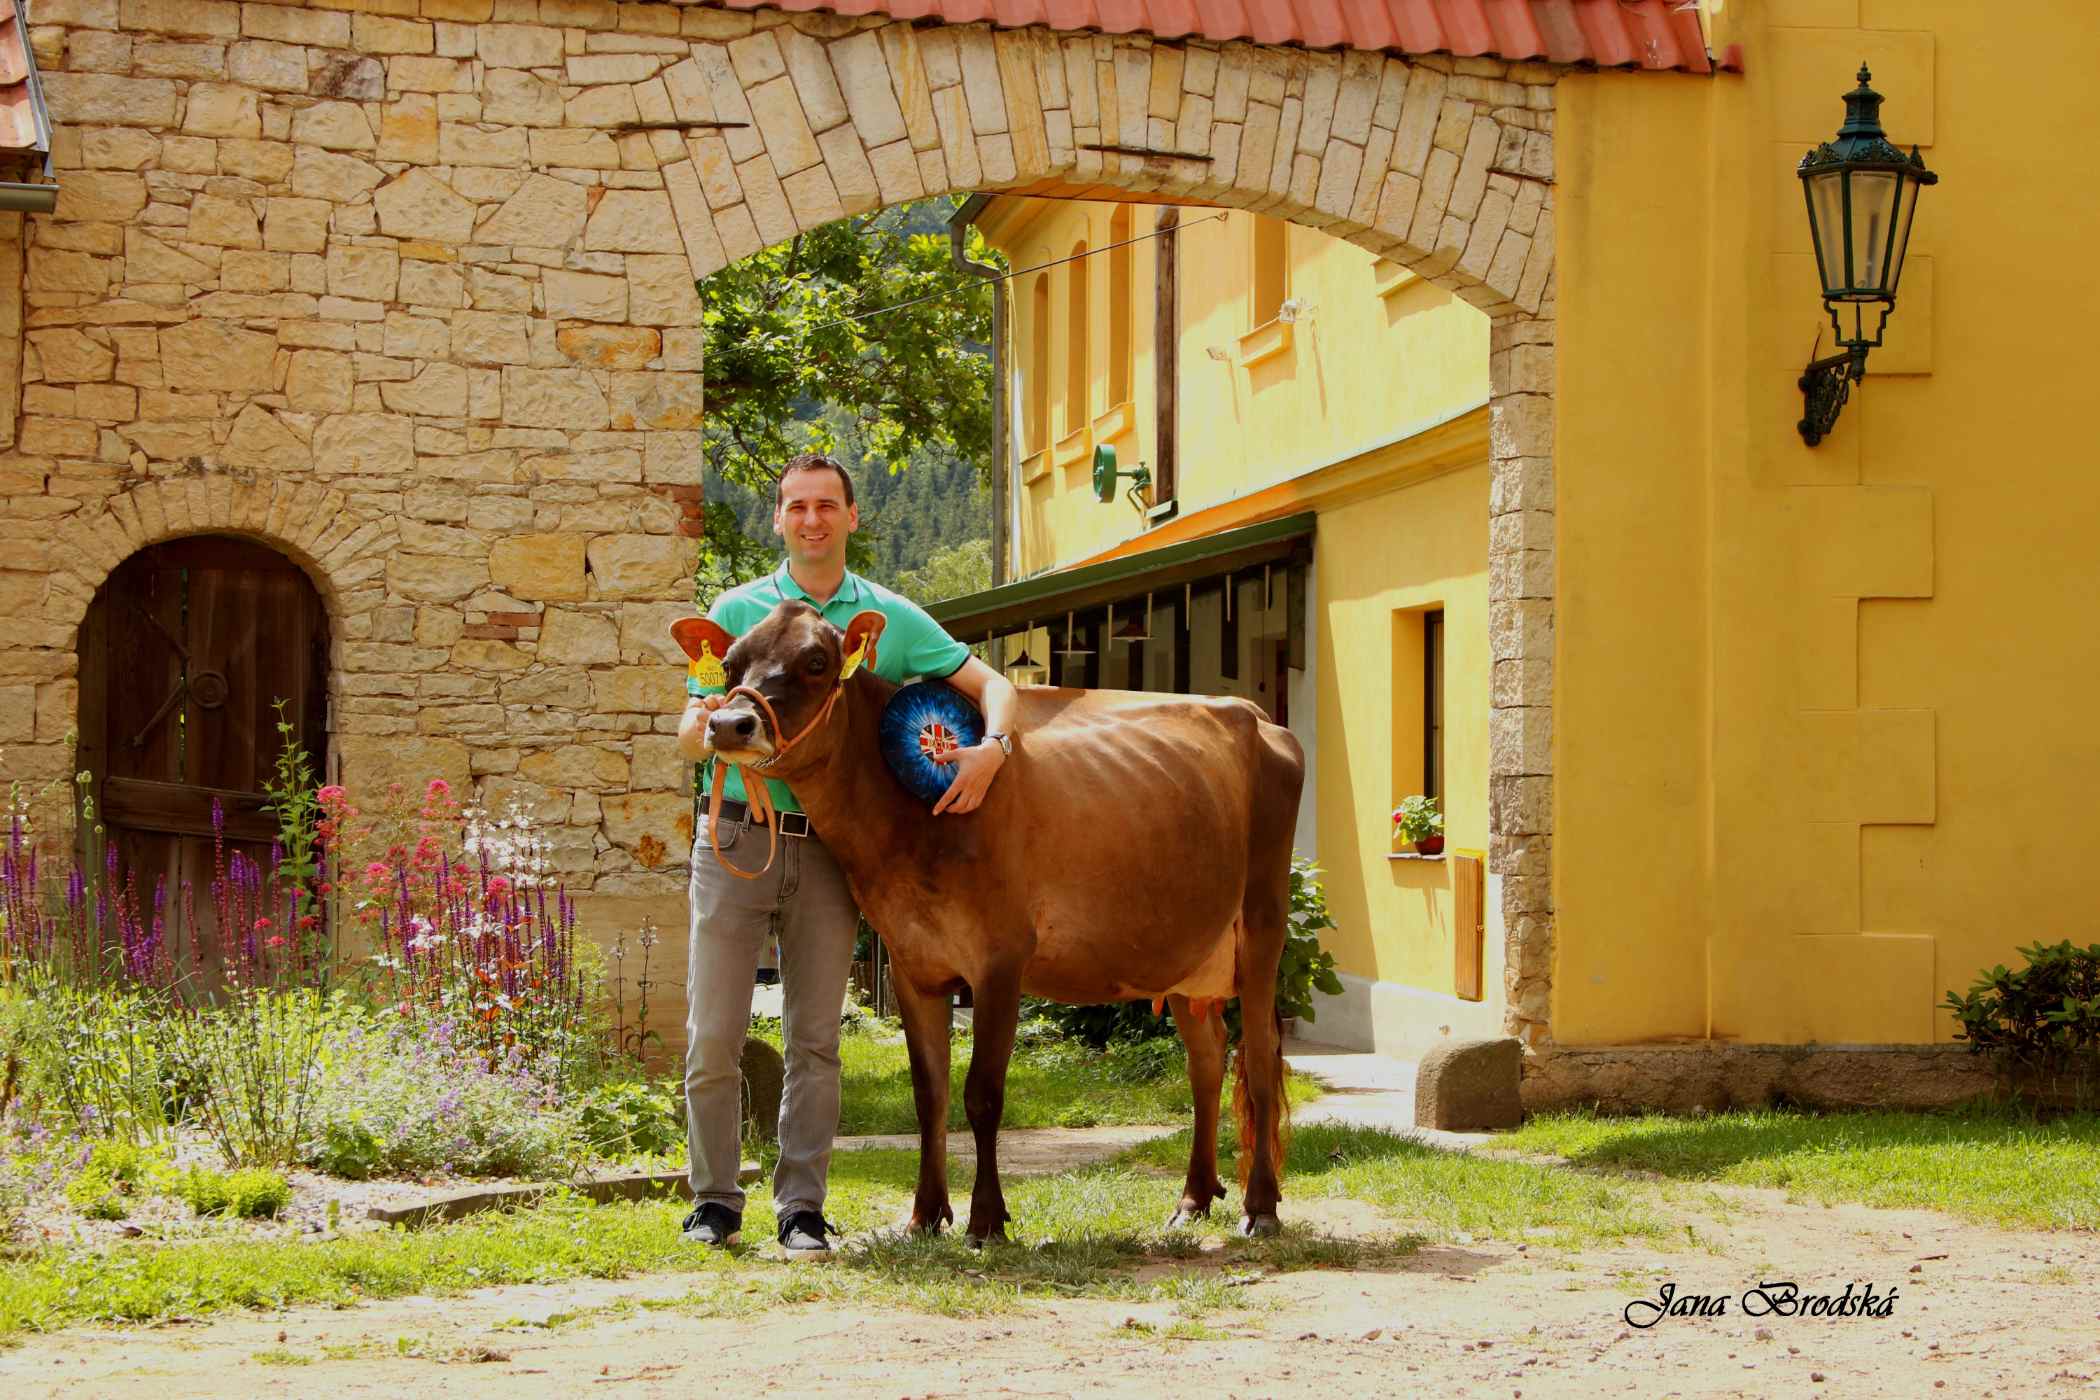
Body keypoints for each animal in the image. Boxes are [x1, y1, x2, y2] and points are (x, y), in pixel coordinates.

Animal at [672, 596, 1302, 1242]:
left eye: (817, 661)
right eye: (730, 662)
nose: (729, 725)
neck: (904, 824)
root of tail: (1258, 716)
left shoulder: (1001, 958)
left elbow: (982, 1093)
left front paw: (985, 1218)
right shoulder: (912, 964)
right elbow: (930, 1093)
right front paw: (925, 1214)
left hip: (1263, 924)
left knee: (1257, 1056)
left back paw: (1260, 1207)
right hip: (1183, 948)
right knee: (1208, 1057)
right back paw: (1193, 1198)